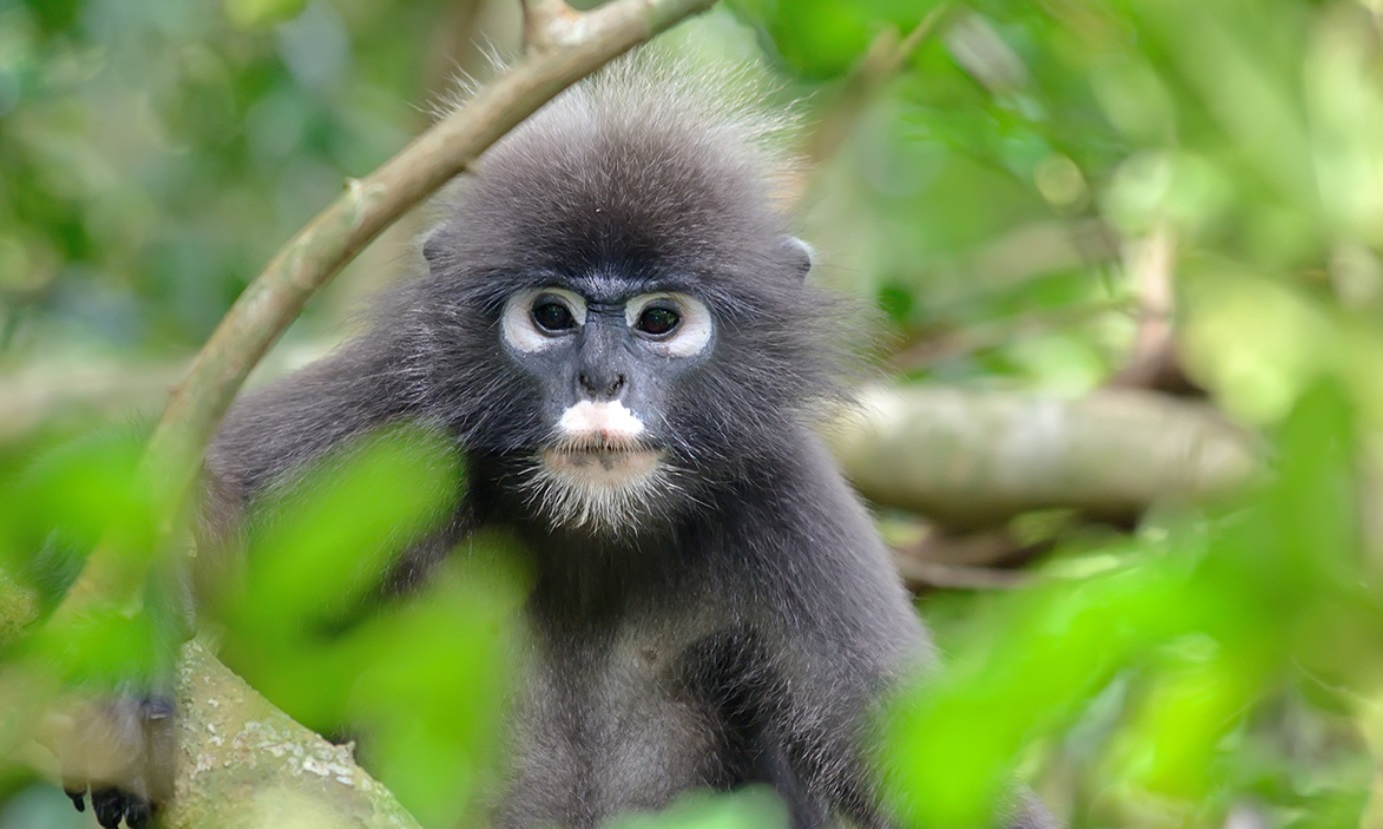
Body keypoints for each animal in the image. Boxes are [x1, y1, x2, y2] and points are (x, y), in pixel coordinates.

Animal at [57, 58, 1056, 829]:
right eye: (551, 315)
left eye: (659, 321)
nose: (601, 379)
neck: (586, 536)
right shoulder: (391, 414)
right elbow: (165, 484)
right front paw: (121, 662)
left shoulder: (785, 500)